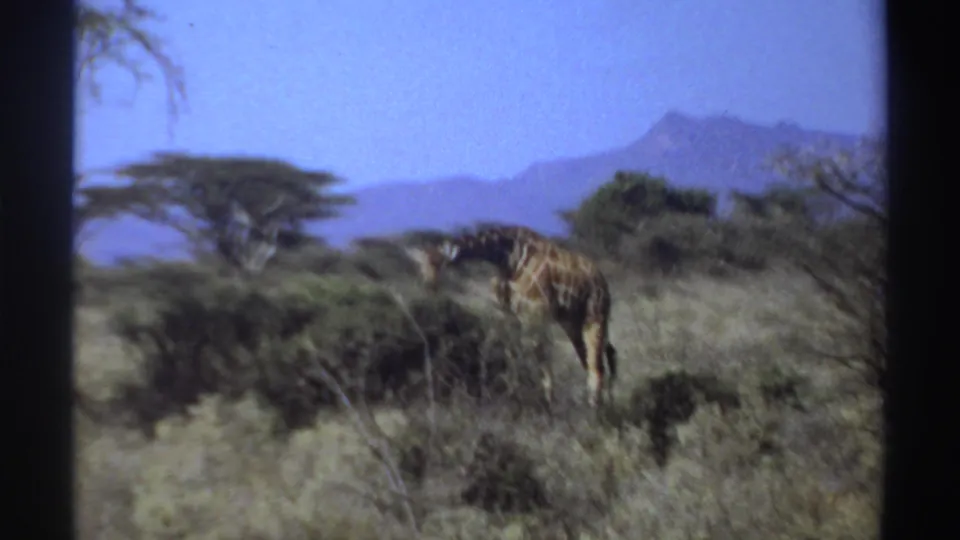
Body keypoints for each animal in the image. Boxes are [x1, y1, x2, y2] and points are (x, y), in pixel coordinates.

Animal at [404, 225, 619, 409]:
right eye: (420, 265)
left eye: (439, 263)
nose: (428, 286)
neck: (506, 258)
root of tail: (602, 281)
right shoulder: (505, 313)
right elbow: (504, 352)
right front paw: (510, 396)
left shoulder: (535, 313)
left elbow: (540, 355)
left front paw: (548, 402)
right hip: (572, 321)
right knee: (603, 354)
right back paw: (603, 402)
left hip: (594, 315)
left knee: (596, 363)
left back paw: (594, 408)